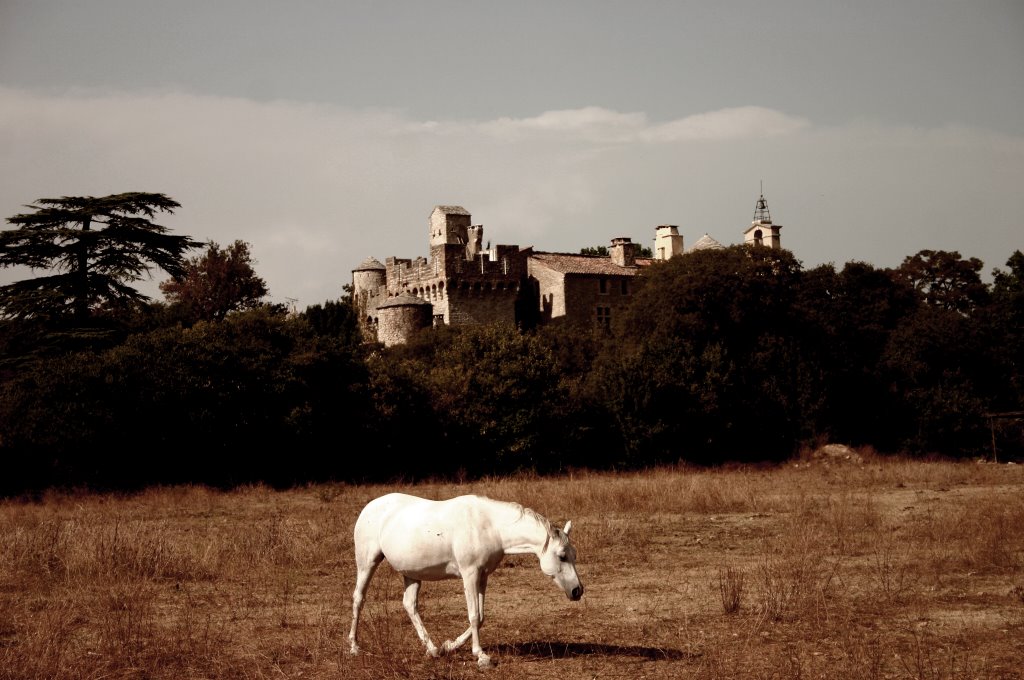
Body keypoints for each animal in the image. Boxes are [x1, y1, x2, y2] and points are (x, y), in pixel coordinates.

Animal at [346, 491, 581, 667]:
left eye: (574, 555)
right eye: (562, 556)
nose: (577, 591)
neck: (489, 526)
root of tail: (369, 507)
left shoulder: (483, 576)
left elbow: (481, 616)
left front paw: (449, 645)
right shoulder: (470, 575)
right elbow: (474, 616)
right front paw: (481, 656)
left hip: (411, 574)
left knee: (409, 605)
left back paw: (433, 650)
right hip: (367, 563)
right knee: (359, 598)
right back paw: (354, 647)